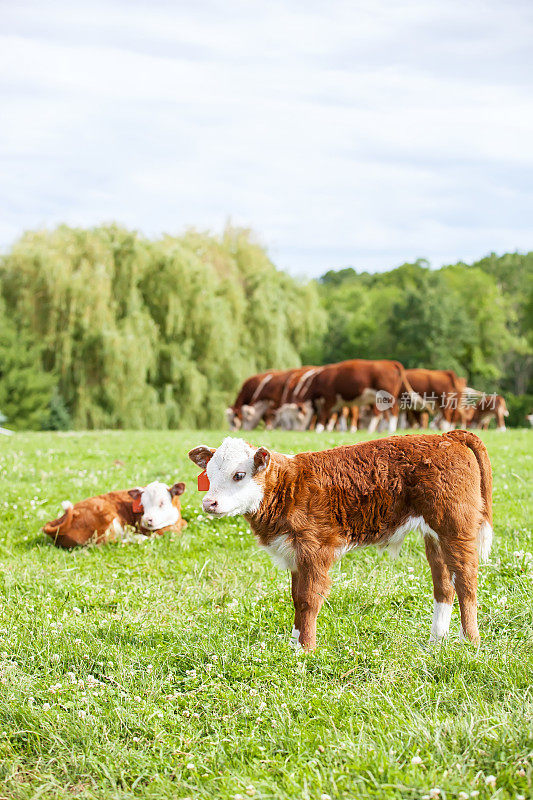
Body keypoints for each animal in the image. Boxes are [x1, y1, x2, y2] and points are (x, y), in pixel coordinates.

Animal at [189, 432, 492, 648]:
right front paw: (294, 645)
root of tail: (447, 435)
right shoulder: (295, 554)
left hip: (456, 527)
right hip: (435, 535)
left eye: (238, 475)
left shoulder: (315, 549)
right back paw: (436, 641)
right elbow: (296, 598)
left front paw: (306, 649)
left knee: (466, 583)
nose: (209, 503)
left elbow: (309, 599)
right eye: (209, 475)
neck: (286, 486)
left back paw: (470, 641)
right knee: (444, 585)